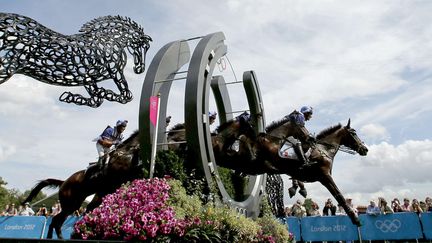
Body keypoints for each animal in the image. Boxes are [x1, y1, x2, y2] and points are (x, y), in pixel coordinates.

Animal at [0, 13, 152, 106]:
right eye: (144, 46)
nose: (139, 69)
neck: (108, 40)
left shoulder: (88, 79)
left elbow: (96, 100)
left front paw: (68, 96)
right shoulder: (115, 72)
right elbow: (126, 95)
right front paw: (106, 92)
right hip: (7, 67)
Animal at [216, 119, 368, 226]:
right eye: (353, 133)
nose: (365, 149)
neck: (324, 150)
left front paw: (296, 188)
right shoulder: (325, 176)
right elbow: (339, 195)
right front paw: (355, 219)